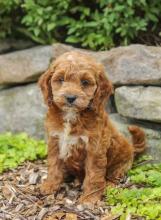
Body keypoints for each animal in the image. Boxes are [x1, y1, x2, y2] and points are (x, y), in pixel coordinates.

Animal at [38, 50, 146, 204]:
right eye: (61, 79)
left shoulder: (95, 147)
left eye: (85, 82)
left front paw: (90, 198)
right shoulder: (55, 140)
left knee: (115, 174)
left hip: (120, 161)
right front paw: (50, 185)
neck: (72, 115)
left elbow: (94, 174)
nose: (70, 98)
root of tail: (132, 148)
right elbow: (53, 165)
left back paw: (109, 185)